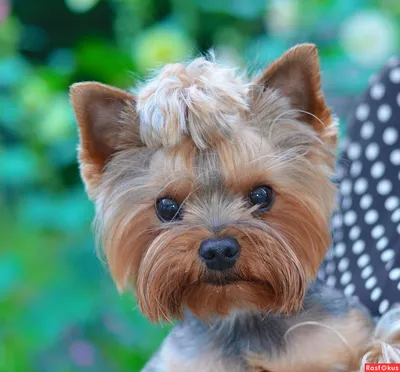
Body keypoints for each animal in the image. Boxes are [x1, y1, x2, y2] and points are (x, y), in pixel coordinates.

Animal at [70, 44, 396, 372]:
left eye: (262, 194)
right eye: (167, 207)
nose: (218, 251)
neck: (243, 314)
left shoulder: (345, 331)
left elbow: (380, 344)